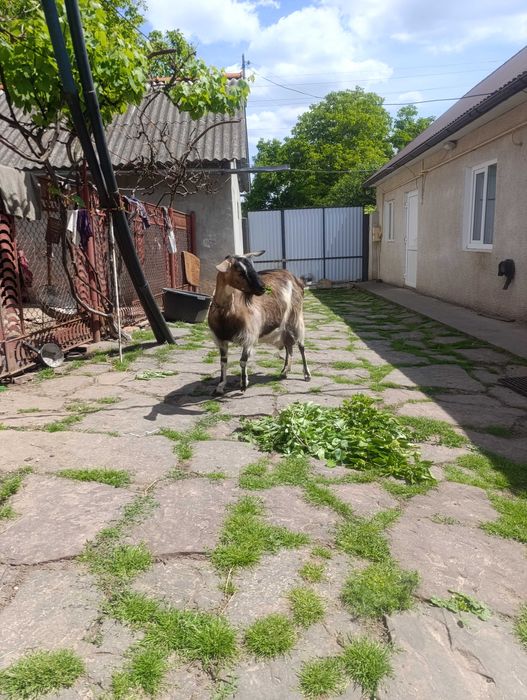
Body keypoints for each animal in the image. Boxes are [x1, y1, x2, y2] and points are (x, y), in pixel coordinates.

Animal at [207, 251, 311, 394]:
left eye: (252, 267)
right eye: (240, 271)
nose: (262, 288)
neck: (226, 314)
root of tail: (296, 279)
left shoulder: (249, 336)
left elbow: (243, 361)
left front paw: (243, 384)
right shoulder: (221, 339)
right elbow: (223, 362)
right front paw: (220, 386)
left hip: (296, 318)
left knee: (301, 346)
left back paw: (307, 375)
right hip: (284, 327)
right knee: (288, 346)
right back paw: (284, 372)